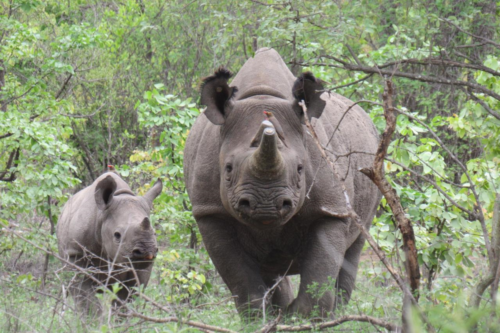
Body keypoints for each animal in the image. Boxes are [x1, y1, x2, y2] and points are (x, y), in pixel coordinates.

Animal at [56, 171, 162, 314]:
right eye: (117, 235)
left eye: (155, 233)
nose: (146, 251)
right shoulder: (75, 253)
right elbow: (87, 300)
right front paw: (92, 320)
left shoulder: (141, 267)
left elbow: (127, 300)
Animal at [184, 47, 378, 316]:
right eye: (228, 169)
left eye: (300, 169)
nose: (265, 205)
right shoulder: (210, 212)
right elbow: (242, 284)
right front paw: (260, 320)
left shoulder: (332, 209)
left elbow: (320, 276)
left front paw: (304, 318)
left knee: (355, 246)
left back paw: (337, 314)